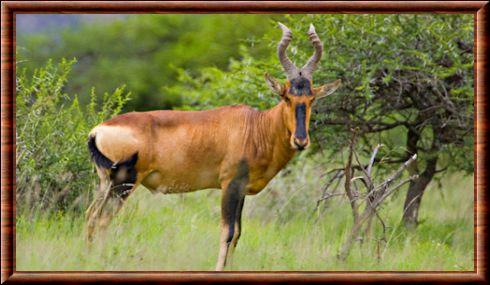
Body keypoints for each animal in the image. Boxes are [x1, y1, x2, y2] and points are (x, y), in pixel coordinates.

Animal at [86, 23, 338, 270]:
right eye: (286, 96)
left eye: (311, 98)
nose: (300, 141)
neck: (255, 126)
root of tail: (98, 130)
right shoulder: (229, 186)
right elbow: (227, 233)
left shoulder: (241, 190)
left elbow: (237, 234)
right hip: (123, 183)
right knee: (103, 219)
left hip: (106, 182)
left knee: (90, 215)